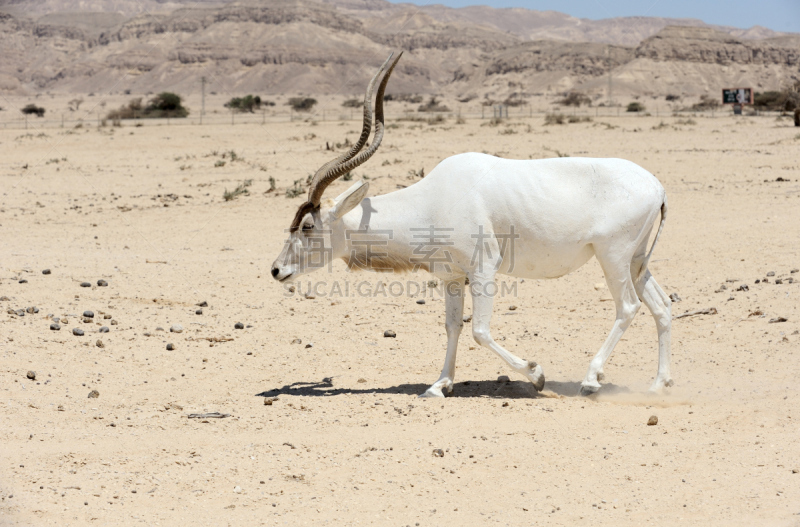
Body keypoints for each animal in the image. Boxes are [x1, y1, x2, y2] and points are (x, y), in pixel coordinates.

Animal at [272, 53, 672, 398]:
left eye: (306, 226)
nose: (276, 270)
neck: (431, 201)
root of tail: (658, 187)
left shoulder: (484, 268)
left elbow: (480, 330)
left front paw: (537, 374)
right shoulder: (452, 276)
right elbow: (454, 326)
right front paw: (439, 385)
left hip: (612, 256)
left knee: (628, 307)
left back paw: (590, 380)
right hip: (636, 261)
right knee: (661, 305)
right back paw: (657, 385)